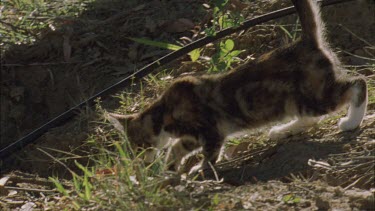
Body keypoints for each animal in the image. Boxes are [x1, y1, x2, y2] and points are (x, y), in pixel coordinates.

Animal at [106, 0, 368, 175]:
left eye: (138, 147)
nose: (142, 162)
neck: (165, 112)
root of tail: (307, 42)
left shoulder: (211, 130)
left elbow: (209, 154)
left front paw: (198, 170)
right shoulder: (191, 137)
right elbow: (177, 148)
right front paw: (171, 168)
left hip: (316, 96)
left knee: (359, 83)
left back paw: (351, 121)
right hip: (297, 102)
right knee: (311, 117)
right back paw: (282, 130)